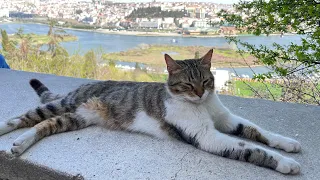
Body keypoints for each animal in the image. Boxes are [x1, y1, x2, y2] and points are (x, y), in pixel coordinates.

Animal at [0, 49, 302, 174]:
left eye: (206, 81)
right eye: (187, 84)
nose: (200, 93)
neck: (202, 105)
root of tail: (87, 83)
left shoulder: (226, 120)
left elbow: (257, 131)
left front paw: (288, 143)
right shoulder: (208, 136)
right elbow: (253, 149)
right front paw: (286, 164)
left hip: (76, 118)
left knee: (43, 126)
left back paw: (20, 144)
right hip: (64, 105)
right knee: (27, 117)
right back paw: (7, 131)